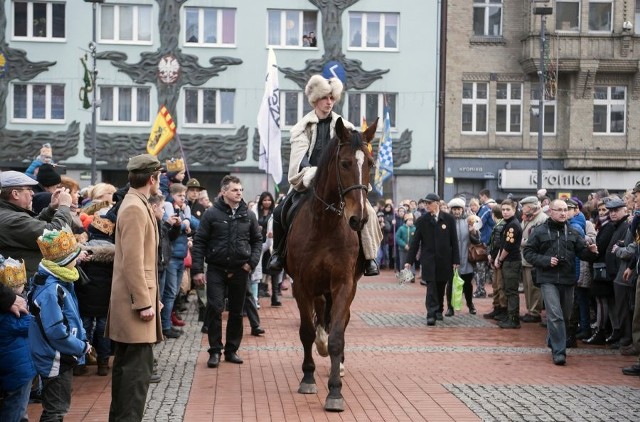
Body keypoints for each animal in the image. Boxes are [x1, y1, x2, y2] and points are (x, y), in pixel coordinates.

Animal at [284, 117, 376, 410]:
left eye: (371, 163)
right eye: (345, 163)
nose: (359, 218)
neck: (325, 224)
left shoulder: (343, 284)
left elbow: (337, 335)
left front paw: (335, 391)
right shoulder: (301, 285)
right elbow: (306, 331)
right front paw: (308, 378)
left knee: (339, 322)